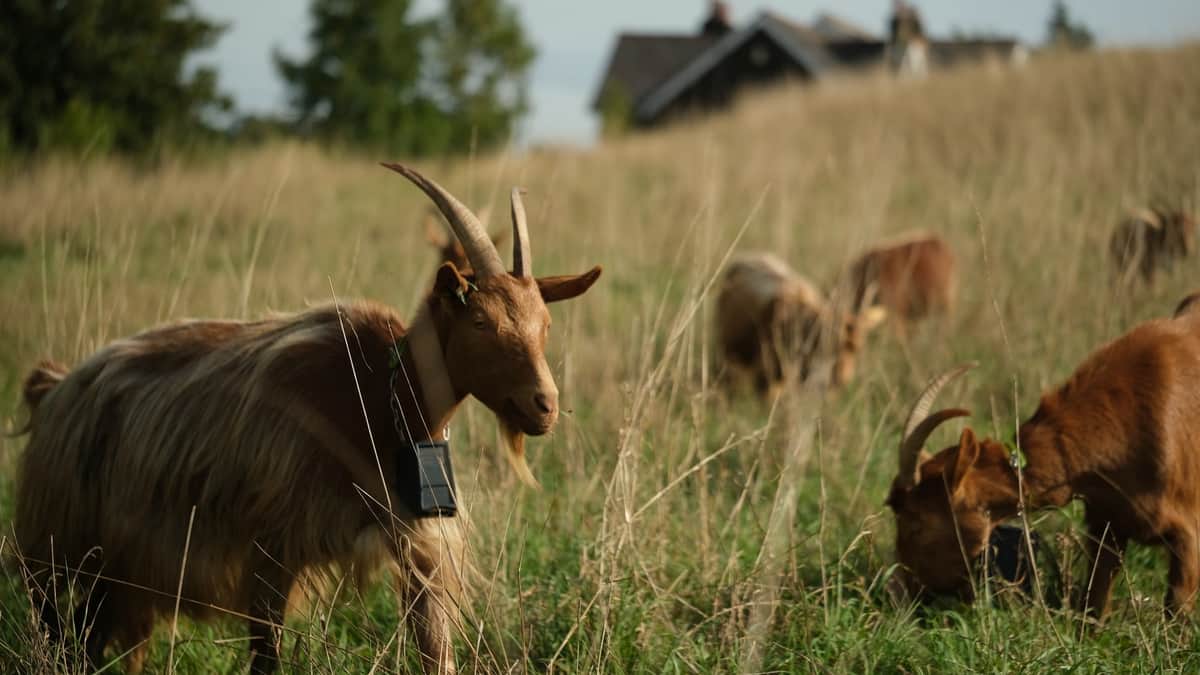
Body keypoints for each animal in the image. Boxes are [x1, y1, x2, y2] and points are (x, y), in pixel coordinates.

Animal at [14, 164, 601, 674]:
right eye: (479, 321)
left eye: (546, 323)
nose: (544, 405)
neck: (378, 395)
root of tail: (55, 387)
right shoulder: (271, 548)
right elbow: (266, 657)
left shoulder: (420, 550)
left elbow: (436, 652)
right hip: (60, 550)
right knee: (61, 634)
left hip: (123, 570)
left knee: (98, 639)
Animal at [887, 301, 1200, 619]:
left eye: (917, 520)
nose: (900, 594)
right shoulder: (1106, 524)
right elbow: (1094, 607)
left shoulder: (1188, 536)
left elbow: (1177, 612)